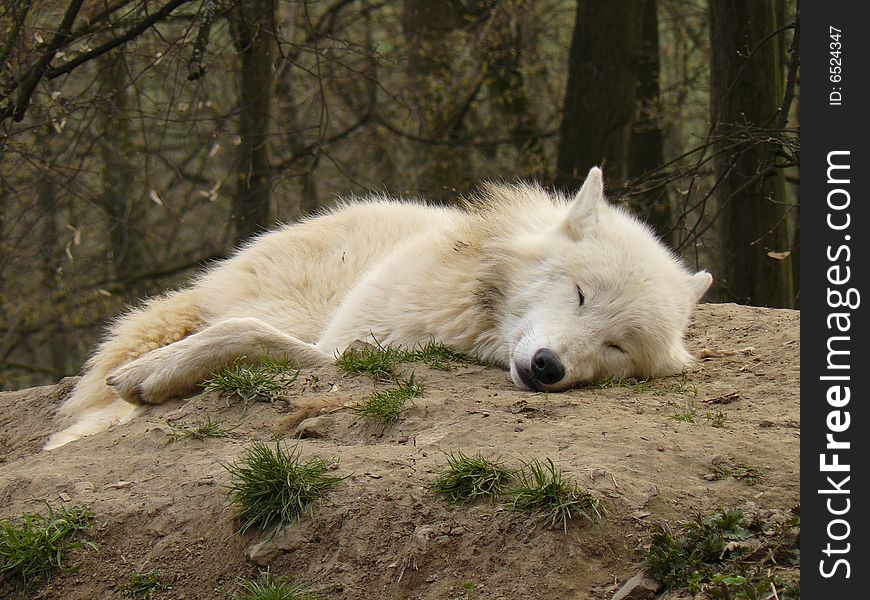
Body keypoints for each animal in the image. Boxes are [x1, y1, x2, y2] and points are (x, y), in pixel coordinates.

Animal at [47, 169, 712, 450]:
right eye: (579, 295)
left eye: (616, 346)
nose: (549, 367)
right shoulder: (341, 341)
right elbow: (245, 333)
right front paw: (150, 375)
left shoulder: (346, 354)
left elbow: (248, 339)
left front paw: (156, 377)